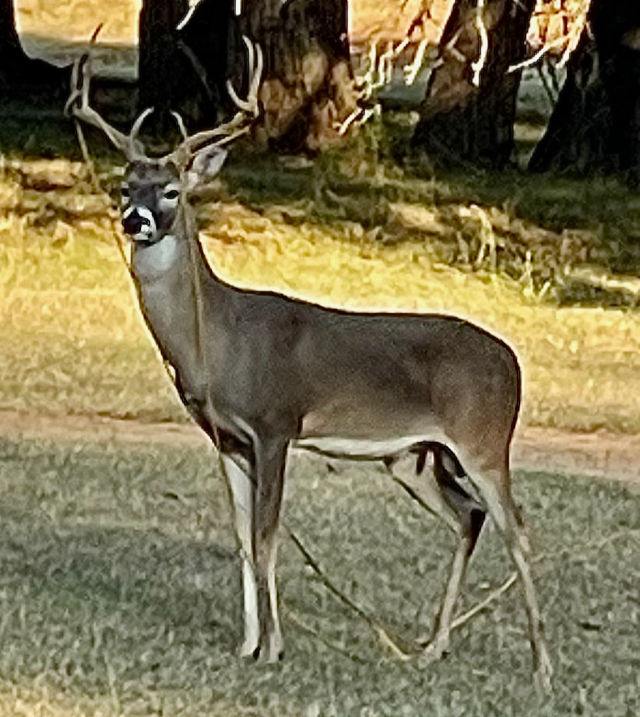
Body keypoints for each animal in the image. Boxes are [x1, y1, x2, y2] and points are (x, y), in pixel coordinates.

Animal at [67, 36, 552, 692]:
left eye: (172, 191)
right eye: (126, 186)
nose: (134, 220)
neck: (220, 338)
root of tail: (514, 363)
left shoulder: (276, 423)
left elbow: (268, 535)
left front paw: (273, 647)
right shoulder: (227, 438)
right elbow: (242, 537)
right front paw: (247, 644)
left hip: (483, 439)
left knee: (517, 530)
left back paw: (542, 668)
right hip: (418, 457)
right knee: (468, 518)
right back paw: (432, 648)